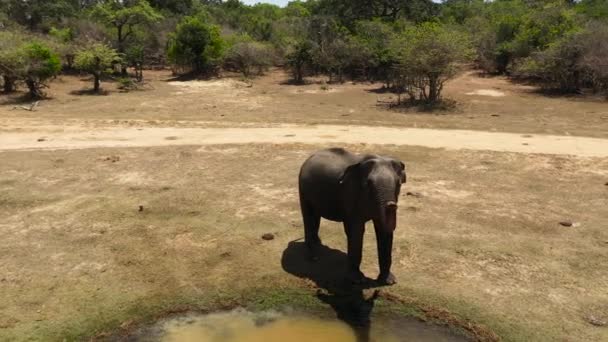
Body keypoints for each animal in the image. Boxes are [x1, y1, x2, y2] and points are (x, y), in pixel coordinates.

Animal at [300, 148, 408, 284]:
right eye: (368, 184)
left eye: (398, 184)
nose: (392, 204)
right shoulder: (350, 193)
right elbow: (356, 230)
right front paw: (357, 280)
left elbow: (382, 229)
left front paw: (389, 281)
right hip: (303, 189)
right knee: (308, 216)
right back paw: (313, 257)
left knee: (315, 216)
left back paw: (318, 244)